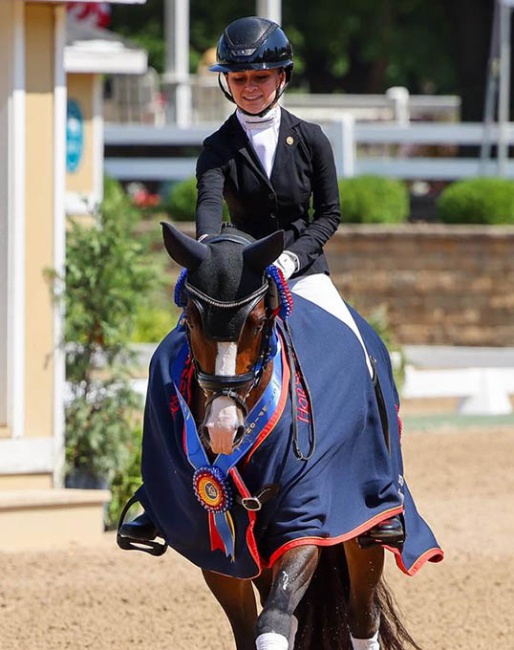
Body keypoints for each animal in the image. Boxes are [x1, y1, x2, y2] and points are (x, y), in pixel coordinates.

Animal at [118, 222, 443, 650]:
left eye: (258, 322)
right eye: (189, 320)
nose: (223, 429)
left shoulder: (307, 517)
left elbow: (274, 619)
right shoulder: (218, 548)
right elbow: (251, 628)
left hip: (363, 526)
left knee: (362, 616)